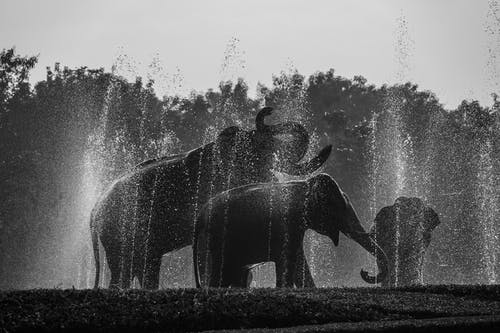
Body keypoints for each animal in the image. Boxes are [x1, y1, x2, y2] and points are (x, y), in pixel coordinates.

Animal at [90, 106, 332, 288]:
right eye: (265, 147)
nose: (270, 110)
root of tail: (94, 210)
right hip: (119, 232)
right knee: (124, 269)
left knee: (143, 267)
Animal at [193, 172, 388, 286]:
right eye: (341, 210)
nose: (364, 271)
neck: (306, 184)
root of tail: (199, 217)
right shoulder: (288, 223)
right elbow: (290, 258)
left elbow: (298, 260)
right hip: (217, 240)